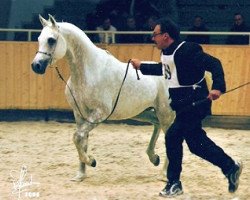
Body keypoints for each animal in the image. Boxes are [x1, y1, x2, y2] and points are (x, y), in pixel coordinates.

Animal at [30, 14, 174, 182]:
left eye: (51, 40)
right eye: (39, 38)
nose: (36, 66)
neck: (90, 71)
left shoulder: (100, 113)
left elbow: (77, 136)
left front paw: (91, 161)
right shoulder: (80, 114)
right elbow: (82, 140)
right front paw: (80, 175)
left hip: (165, 113)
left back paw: (164, 174)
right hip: (145, 112)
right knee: (157, 125)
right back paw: (154, 157)